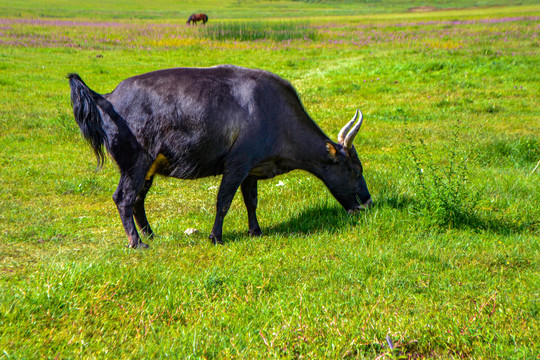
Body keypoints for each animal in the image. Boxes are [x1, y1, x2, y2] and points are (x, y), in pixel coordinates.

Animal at [67, 65, 372, 248]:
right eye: (355, 171)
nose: (368, 203)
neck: (274, 111)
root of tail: (107, 97)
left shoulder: (252, 169)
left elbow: (251, 201)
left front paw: (255, 230)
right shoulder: (237, 164)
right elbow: (223, 201)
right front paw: (216, 236)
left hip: (148, 168)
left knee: (138, 201)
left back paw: (151, 234)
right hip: (135, 163)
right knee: (124, 199)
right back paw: (138, 242)